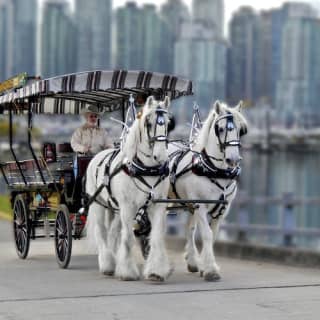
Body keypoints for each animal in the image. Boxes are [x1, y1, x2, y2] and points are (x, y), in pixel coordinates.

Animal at [85, 96, 172, 282]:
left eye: (168, 123)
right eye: (148, 122)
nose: (161, 156)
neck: (145, 169)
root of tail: (97, 156)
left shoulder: (157, 205)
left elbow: (156, 237)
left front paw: (156, 271)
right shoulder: (127, 207)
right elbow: (128, 239)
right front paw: (127, 271)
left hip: (114, 208)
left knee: (112, 232)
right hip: (98, 204)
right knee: (101, 231)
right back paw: (107, 264)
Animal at [169, 101, 249, 282]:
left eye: (241, 130)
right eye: (220, 128)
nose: (233, 159)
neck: (214, 170)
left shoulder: (222, 209)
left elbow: (213, 235)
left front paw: (206, 266)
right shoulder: (200, 205)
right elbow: (206, 234)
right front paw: (211, 270)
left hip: (189, 204)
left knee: (189, 229)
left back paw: (192, 261)